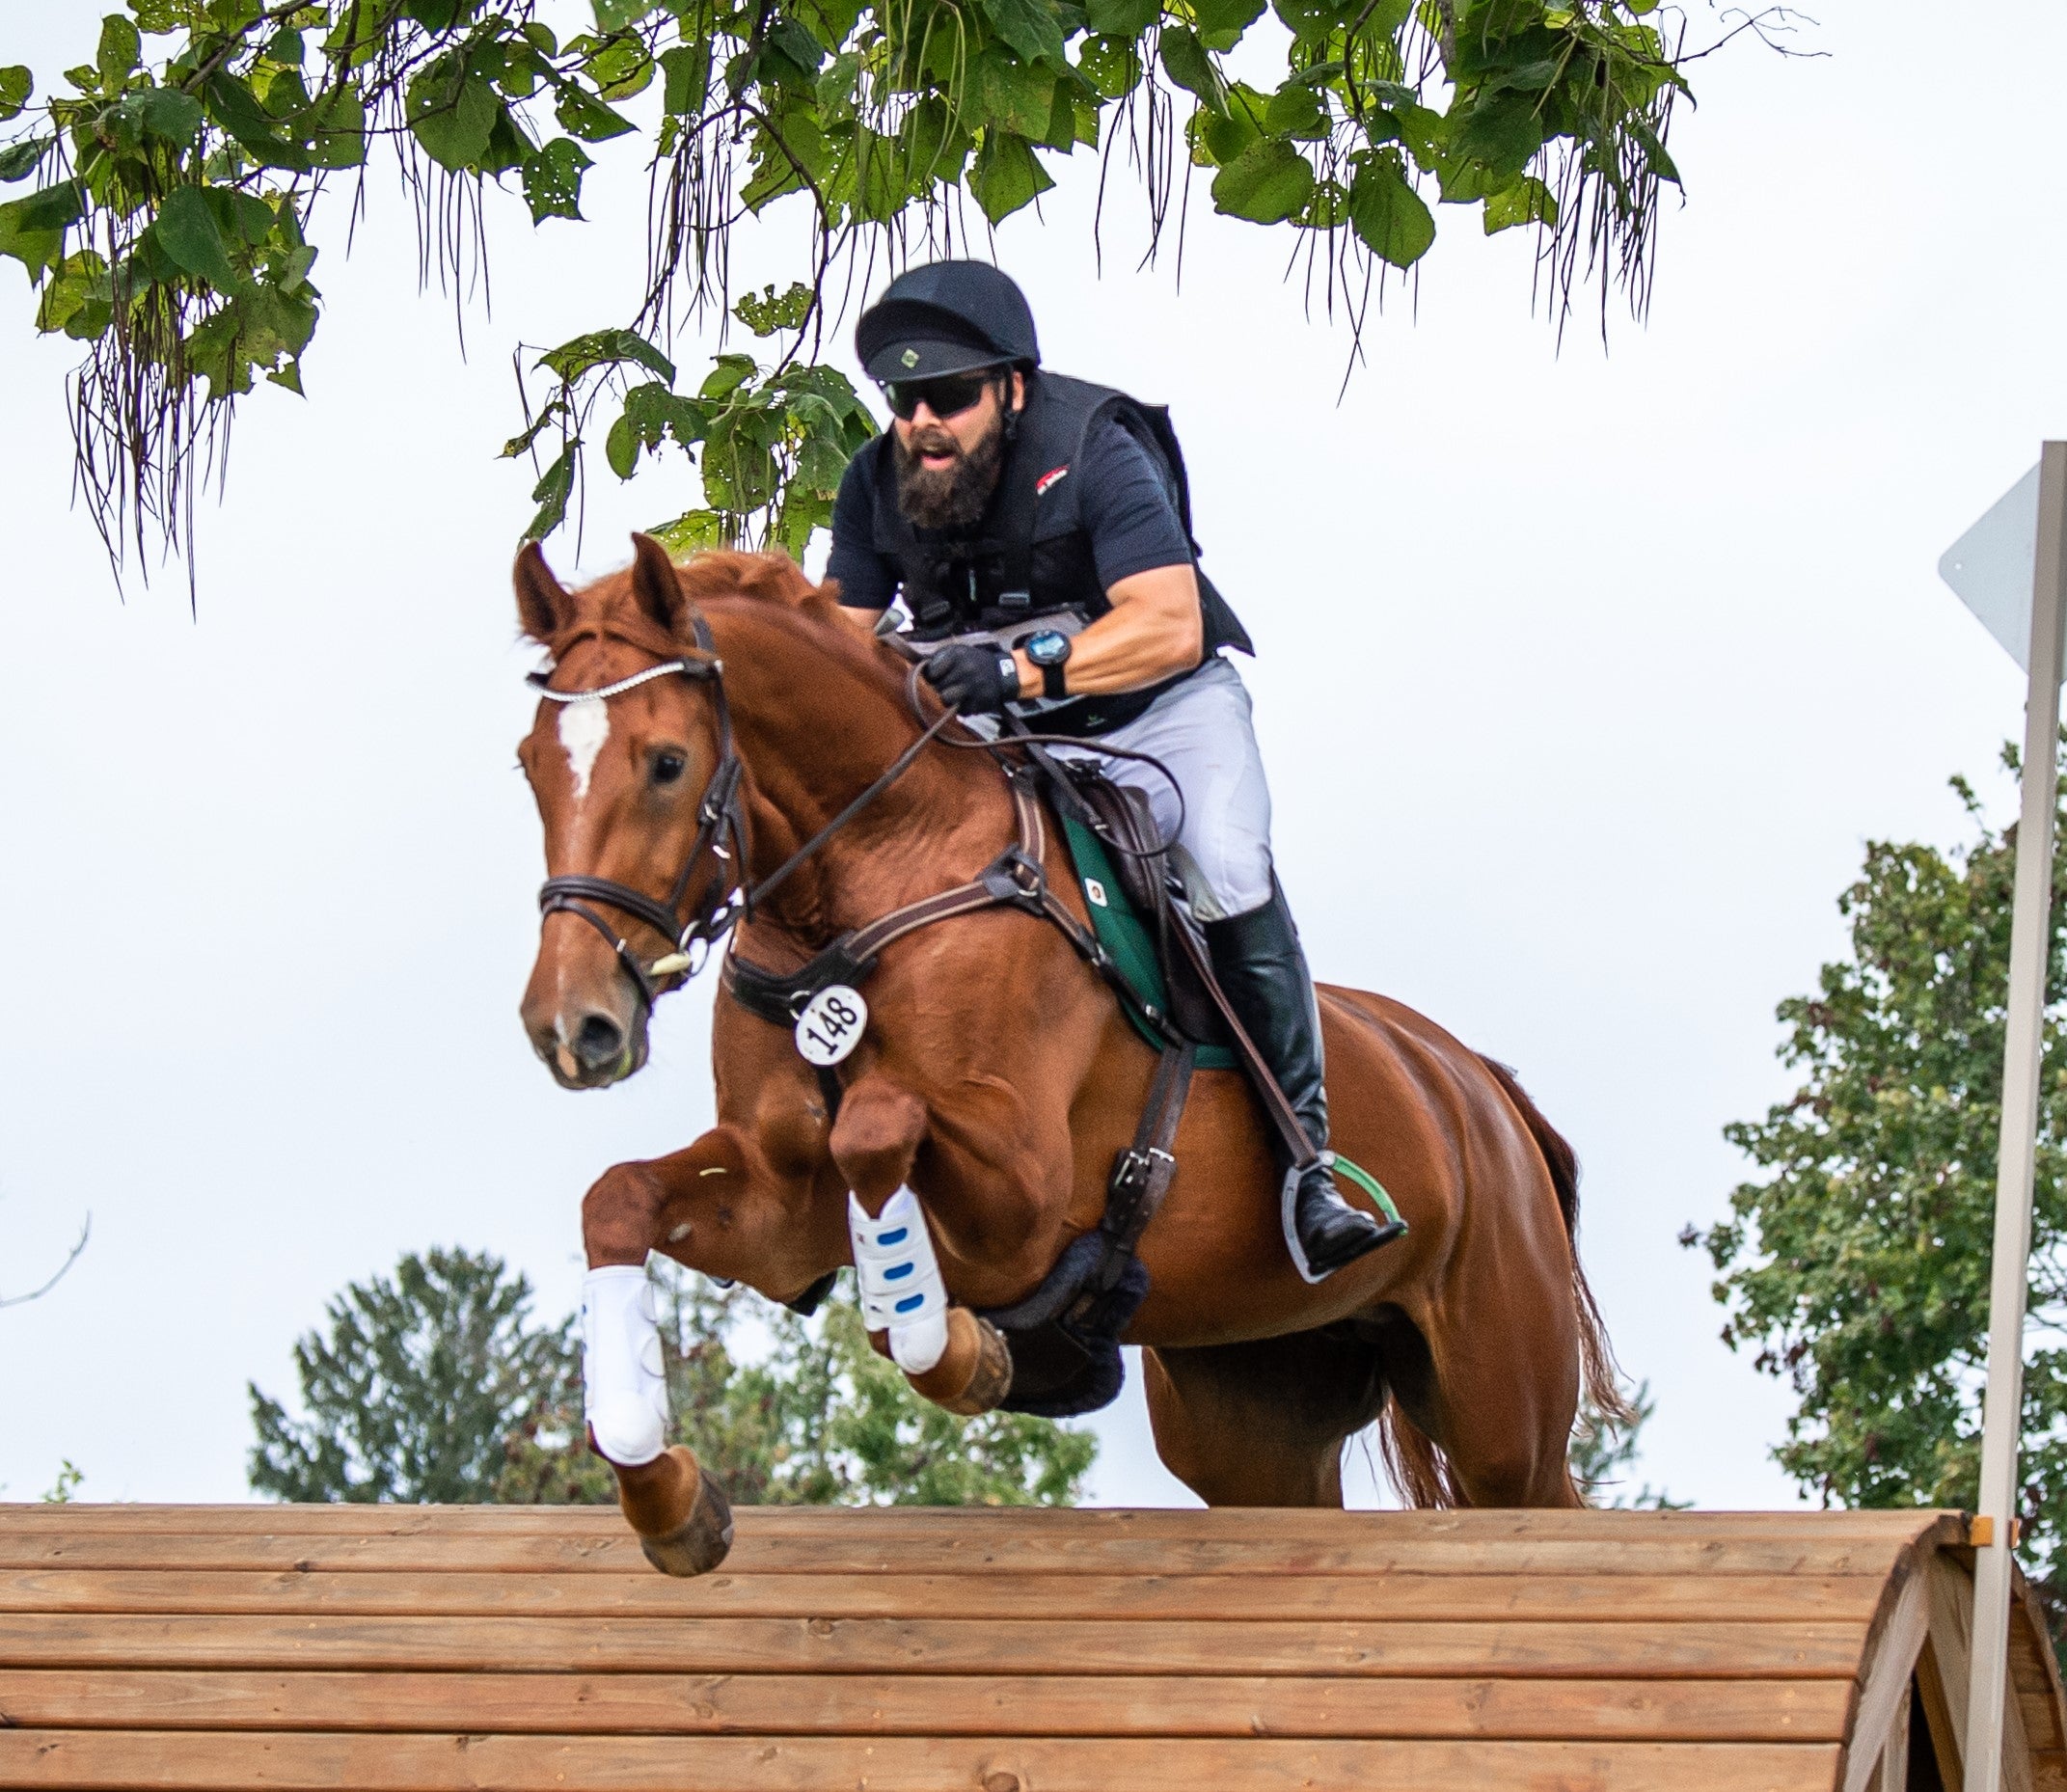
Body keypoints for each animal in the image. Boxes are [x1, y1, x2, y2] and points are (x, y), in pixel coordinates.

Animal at [515, 535, 1624, 1573]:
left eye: (666, 762)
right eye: (529, 765)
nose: (573, 1025)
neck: (862, 887)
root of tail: (1479, 1083)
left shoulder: (1024, 1196)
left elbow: (877, 1130)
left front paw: (967, 1351)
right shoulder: (780, 1199)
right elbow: (619, 1198)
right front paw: (662, 1488)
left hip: (1501, 1411)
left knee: (1546, 1495)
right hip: (1256, 1411)